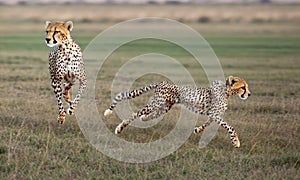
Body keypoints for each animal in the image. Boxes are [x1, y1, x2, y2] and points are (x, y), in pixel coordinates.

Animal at [104, 76, 250, 148]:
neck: (227, 92)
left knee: (148, 115)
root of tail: (163, 82)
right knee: (136, 113)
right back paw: (119, 128)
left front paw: (198, 130)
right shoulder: (214, 114)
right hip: (156, 104)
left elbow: (207, 124)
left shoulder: (213, 114)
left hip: (163, 107)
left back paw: (143, 119)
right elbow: (230, 127)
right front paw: (236, 142)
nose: (249, 94)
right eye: (243, 87)